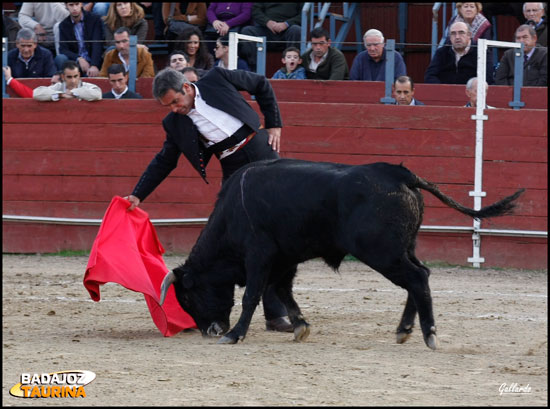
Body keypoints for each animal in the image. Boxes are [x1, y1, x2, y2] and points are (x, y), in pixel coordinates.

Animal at [161, 159, 528, 348]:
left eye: (189, 297)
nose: (211, 330)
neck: (232, 213)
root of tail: (400, 173)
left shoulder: (259, 254)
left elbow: (252, 294)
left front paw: (235, 334)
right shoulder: (284, 259)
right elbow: (281, 291)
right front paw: (300, 326)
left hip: (382, 252)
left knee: (417, 278)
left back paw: (429, 334)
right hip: (402, 248)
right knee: (420, 277)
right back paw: (405, 330)